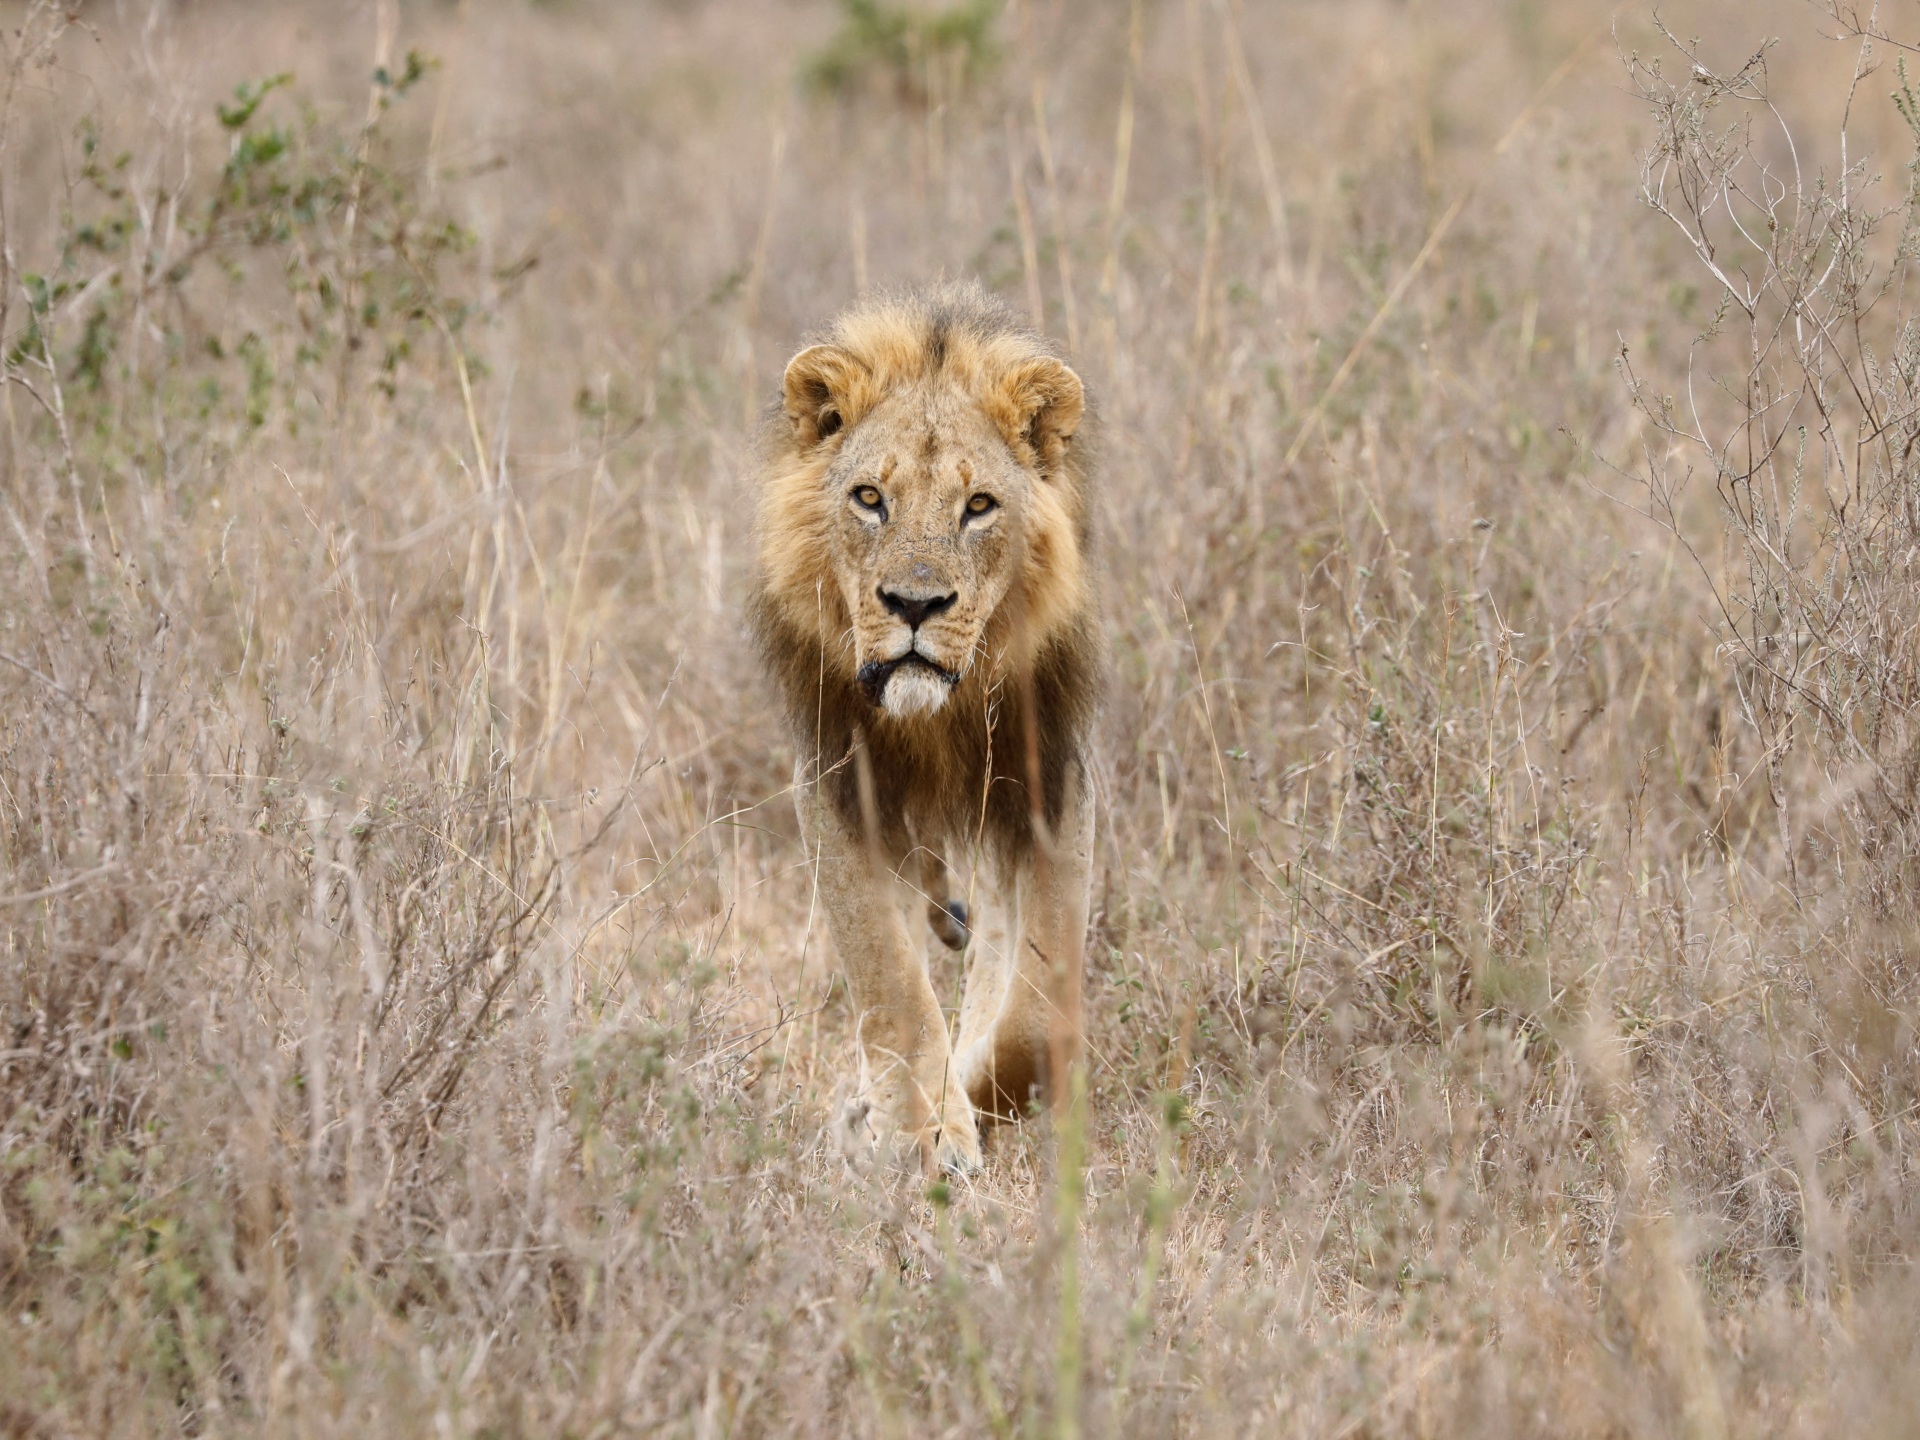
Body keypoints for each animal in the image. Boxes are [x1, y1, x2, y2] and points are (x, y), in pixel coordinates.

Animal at [744, 284, 1098, 1182]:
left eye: (979, 507)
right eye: (870, 498)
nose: (913, 604)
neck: (937, 715)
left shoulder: (1049, 782)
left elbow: (1037, 1012)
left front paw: (965, 1102)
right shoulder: (839, 785)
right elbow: (891, 982)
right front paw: (918, 1135)